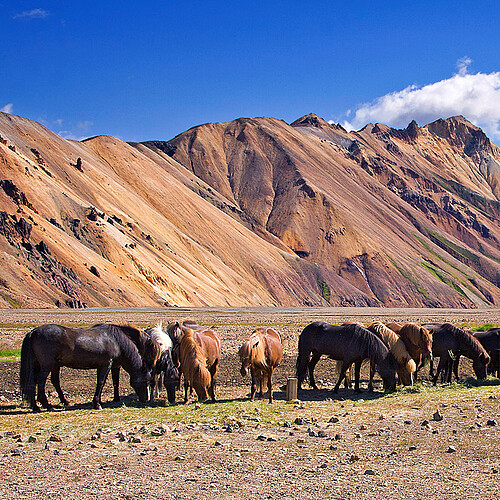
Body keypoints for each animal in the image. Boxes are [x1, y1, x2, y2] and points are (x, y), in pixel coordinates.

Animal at [19, 322, 151, 412]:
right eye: (146, 381)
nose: (145, 399)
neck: (115, 341)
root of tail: (33, 332)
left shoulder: (103, 366)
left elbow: (103, 382)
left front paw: (99, 401)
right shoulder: (106, 364)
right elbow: (101, 382)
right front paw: (97, 404)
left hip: (40, 364)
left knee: (34, 382)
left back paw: (36, 406)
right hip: (47, 365)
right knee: (40, 382)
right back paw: (47, 405)